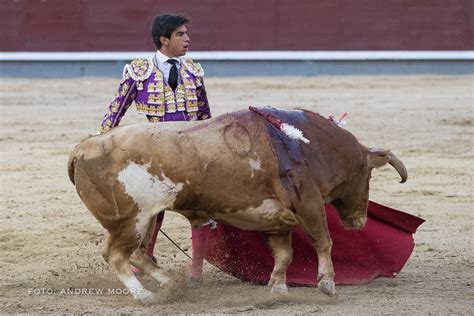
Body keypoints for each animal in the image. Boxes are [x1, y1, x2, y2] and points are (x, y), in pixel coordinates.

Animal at [67, 108, 408, 302]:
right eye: (368, 176)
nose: (359, 221)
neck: (309, 145)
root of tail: (83, 148)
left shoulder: (277, 220)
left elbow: (284, 255)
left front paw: (278, 290)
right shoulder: (308, 205)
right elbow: (323, 241)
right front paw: (327, 285)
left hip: (144, 218)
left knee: (137, 252)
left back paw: (171, 283)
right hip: (131, 219)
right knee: (116, 255)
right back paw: (145, 296)